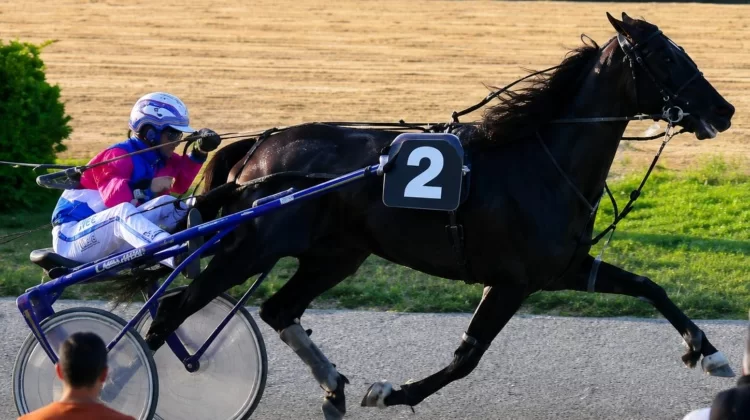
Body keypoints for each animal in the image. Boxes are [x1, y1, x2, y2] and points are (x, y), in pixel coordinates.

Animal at [131, 12, 735, 419]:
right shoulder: (512, 280)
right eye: (667, 58)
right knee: (173, 312)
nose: (726, 110)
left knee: (279, 309)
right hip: (250, 247)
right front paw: (393, 392)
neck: (540, 159)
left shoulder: (564, 269)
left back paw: (332, 386)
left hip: (337, 253)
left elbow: (650, 286)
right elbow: (467, 357)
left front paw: (709, 354)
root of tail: (261, 145)